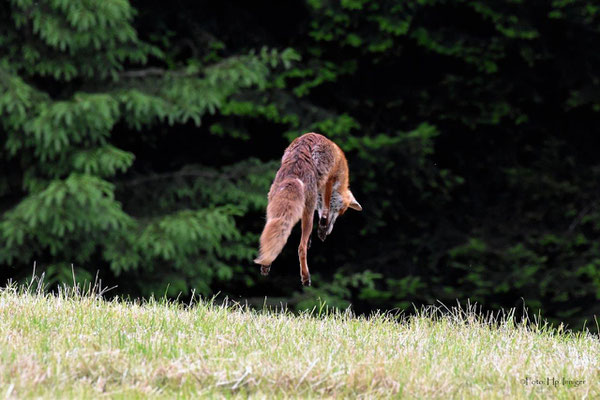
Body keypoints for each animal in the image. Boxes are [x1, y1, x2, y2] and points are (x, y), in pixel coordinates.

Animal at [253, 133, 360, 286]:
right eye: (340, 212)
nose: (329, 230)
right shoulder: (329, 180)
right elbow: (325, 209)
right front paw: (322, 229)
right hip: (307, 212)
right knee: (301, 248)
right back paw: (305, 276)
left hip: (274, 209)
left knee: (270, 234)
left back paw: (266, 264)